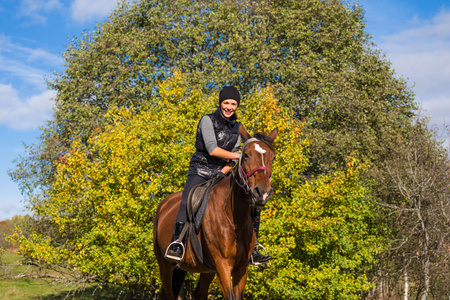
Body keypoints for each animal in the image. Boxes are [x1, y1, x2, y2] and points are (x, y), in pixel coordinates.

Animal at [153, 125, 276, 298]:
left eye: (273, 158)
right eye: (246, 155)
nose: (262, 193)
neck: (233, 217)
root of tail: (164, 204)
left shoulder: (241, 268)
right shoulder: (223, 265)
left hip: (206, 269)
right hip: (165, 266)